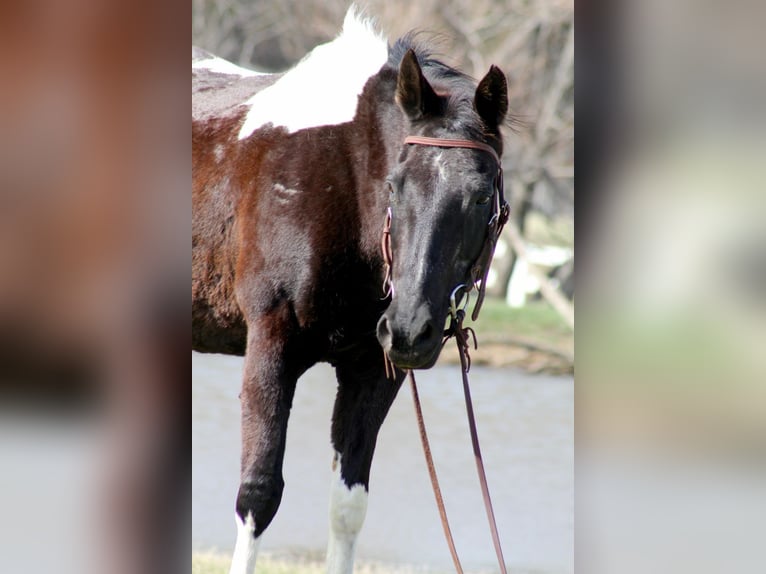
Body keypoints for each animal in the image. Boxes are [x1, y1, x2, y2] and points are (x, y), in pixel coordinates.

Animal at [192, 8, 508, 573]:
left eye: (480, 198)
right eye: (395, 186)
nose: (410, 328)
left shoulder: (373, 371)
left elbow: (347, 508)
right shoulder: (269, 346)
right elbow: (258, 494)